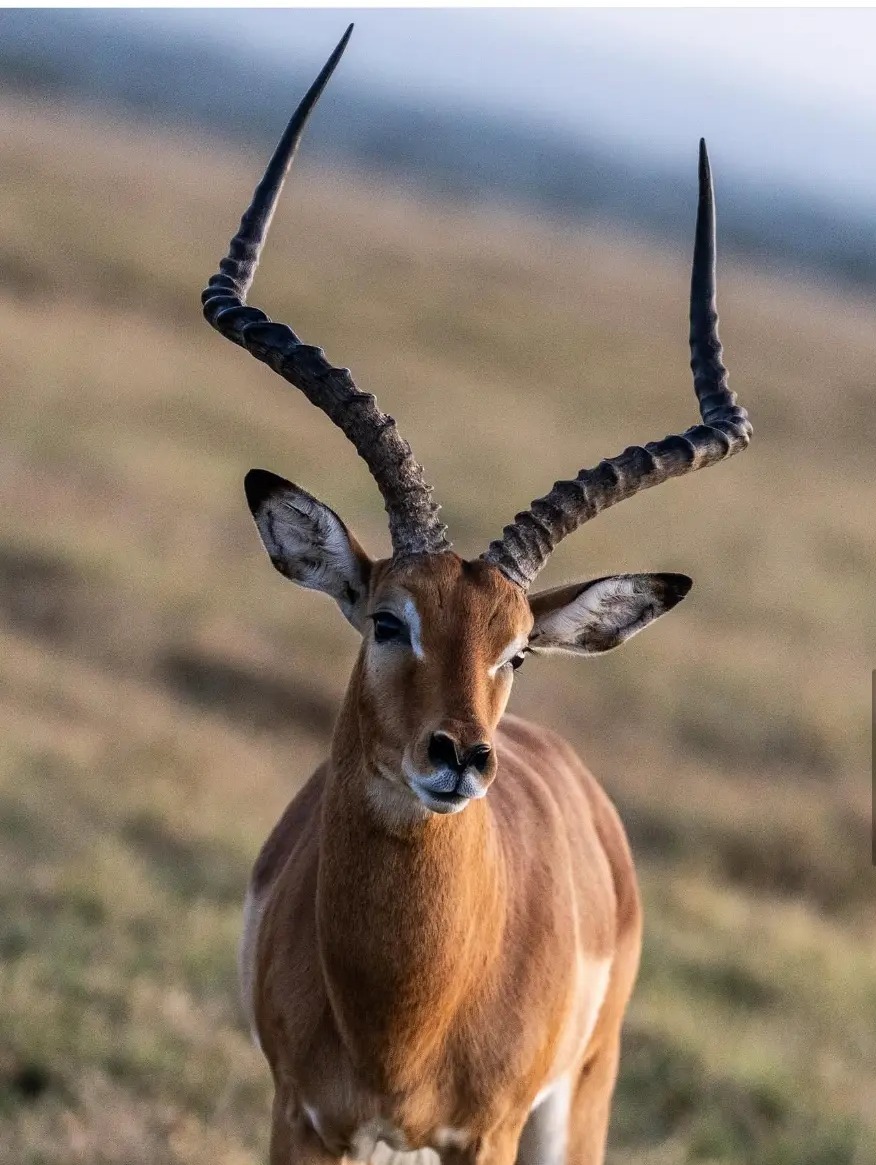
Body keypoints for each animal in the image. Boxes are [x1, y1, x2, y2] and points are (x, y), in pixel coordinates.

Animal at [201, 26, 751, 1165]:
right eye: (386, 618)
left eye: (516, 651)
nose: (459, 756)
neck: (402, 1014)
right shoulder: (299, 1114)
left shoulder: (485, 1132)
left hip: (576, 1103)